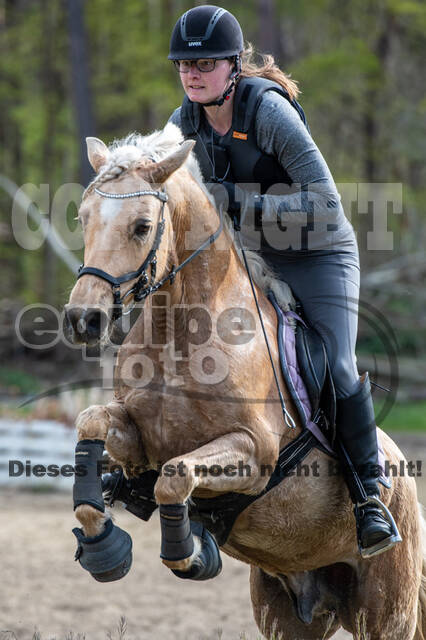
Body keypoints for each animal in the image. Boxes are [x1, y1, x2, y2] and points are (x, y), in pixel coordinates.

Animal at [64, 122, 426, 636]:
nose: (84, 320)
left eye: (141, 226)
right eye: (84, 218)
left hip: (386, 612)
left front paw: (192, 554)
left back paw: (374, 521)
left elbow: (175, 477)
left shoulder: (256, 454)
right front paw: (104, 548)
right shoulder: (139, 442)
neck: (182, 331)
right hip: (285, 612)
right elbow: (92, 423)